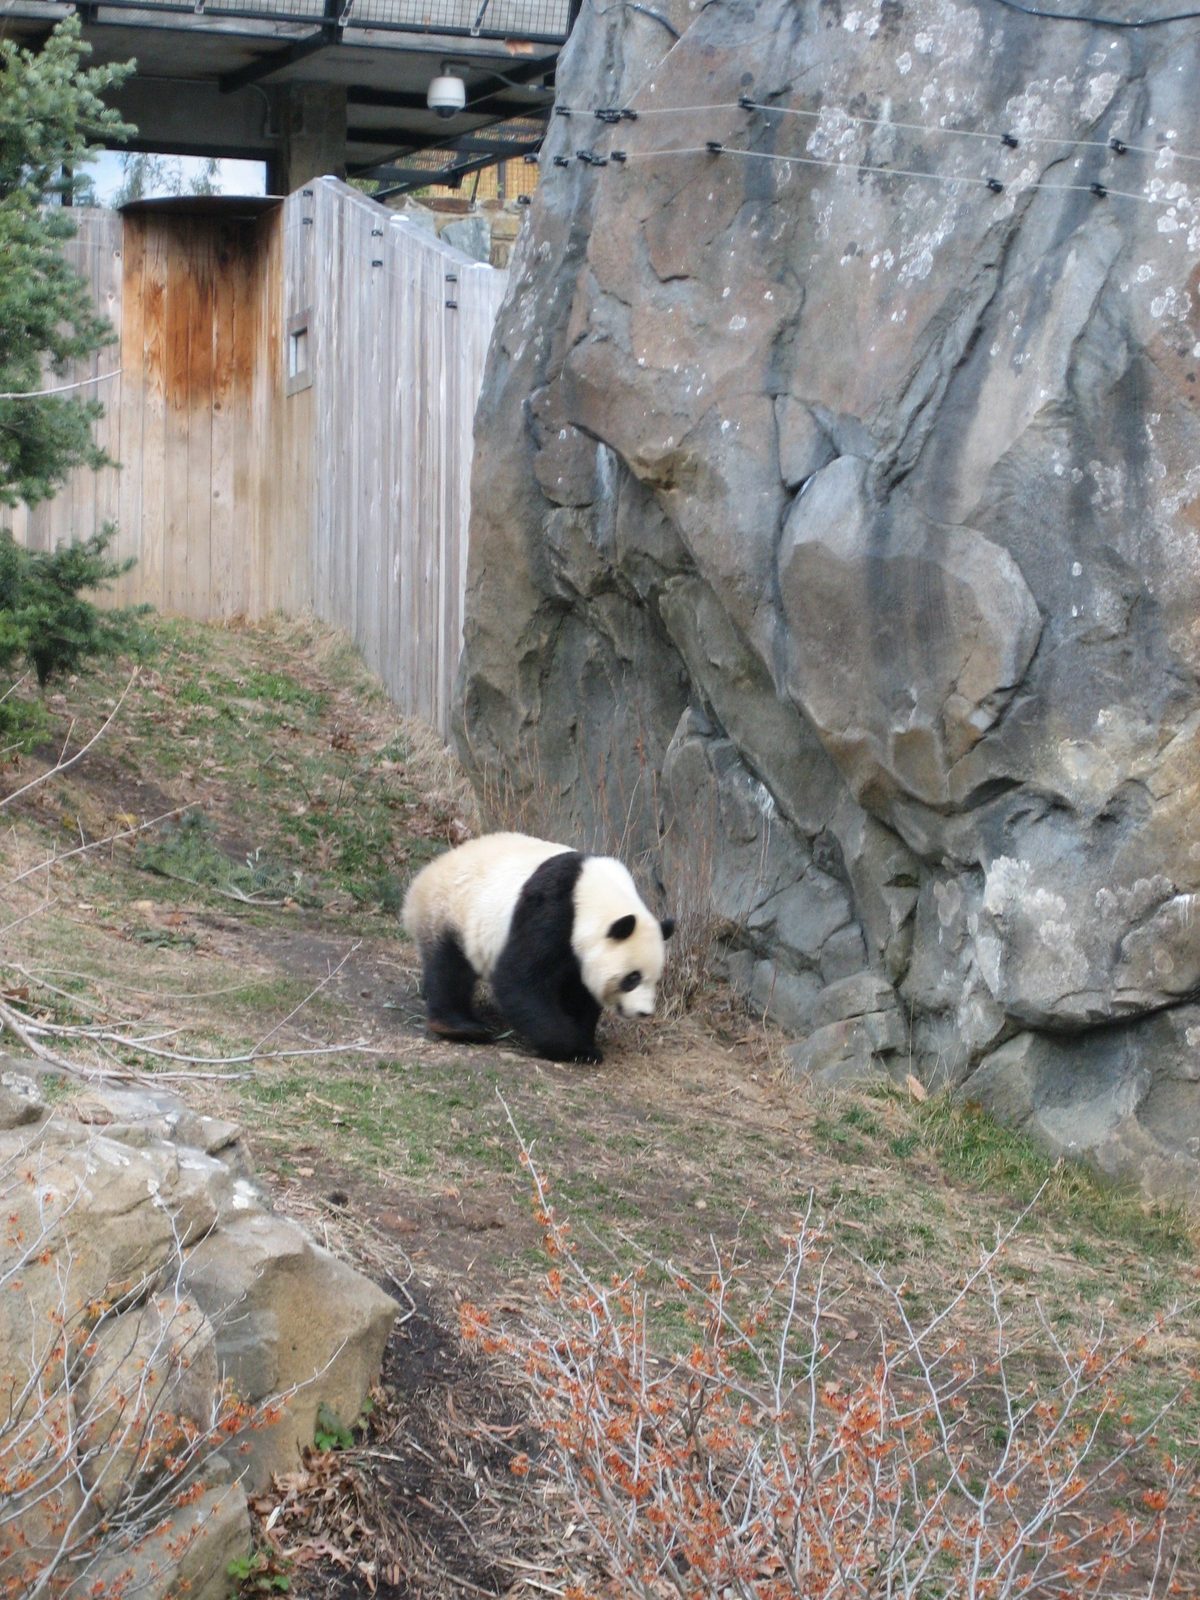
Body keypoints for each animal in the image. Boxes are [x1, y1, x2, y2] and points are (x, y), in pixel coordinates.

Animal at [402, 831, 675, 1063]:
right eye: (632, 978)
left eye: (654, 979)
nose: (643, 1012)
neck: (594, 894)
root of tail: (424, 876)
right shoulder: (551, 909)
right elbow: (519, 979)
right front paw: (570, 1045)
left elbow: (579, 993)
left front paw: (585, 1046)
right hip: (449, 911)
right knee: (449, 968)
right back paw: (460, 1027)